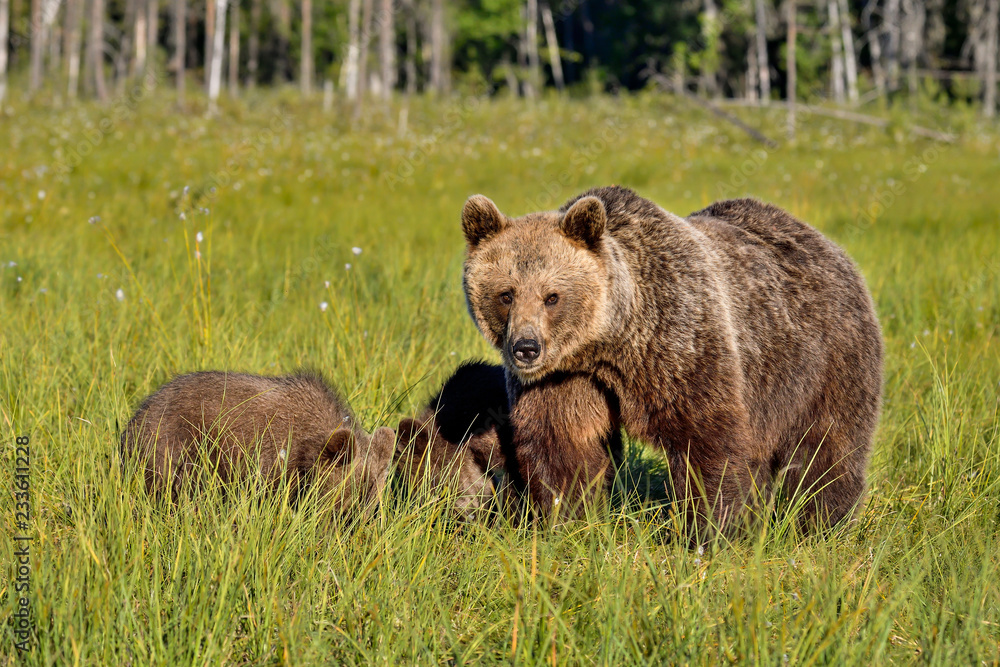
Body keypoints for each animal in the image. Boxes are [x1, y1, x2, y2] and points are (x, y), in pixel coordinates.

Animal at [460, 185, 884, 536]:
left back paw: (820, 523)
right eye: (506, 294)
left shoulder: (680, 342)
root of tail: (828, 244)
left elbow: (707, 439)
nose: (526, 347)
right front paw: (564, 520)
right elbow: (564, 444)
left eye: (552, 296)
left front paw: (706, 530)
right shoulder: (566, 378)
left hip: (825, 358)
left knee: (829, 447)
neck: (611, 342)